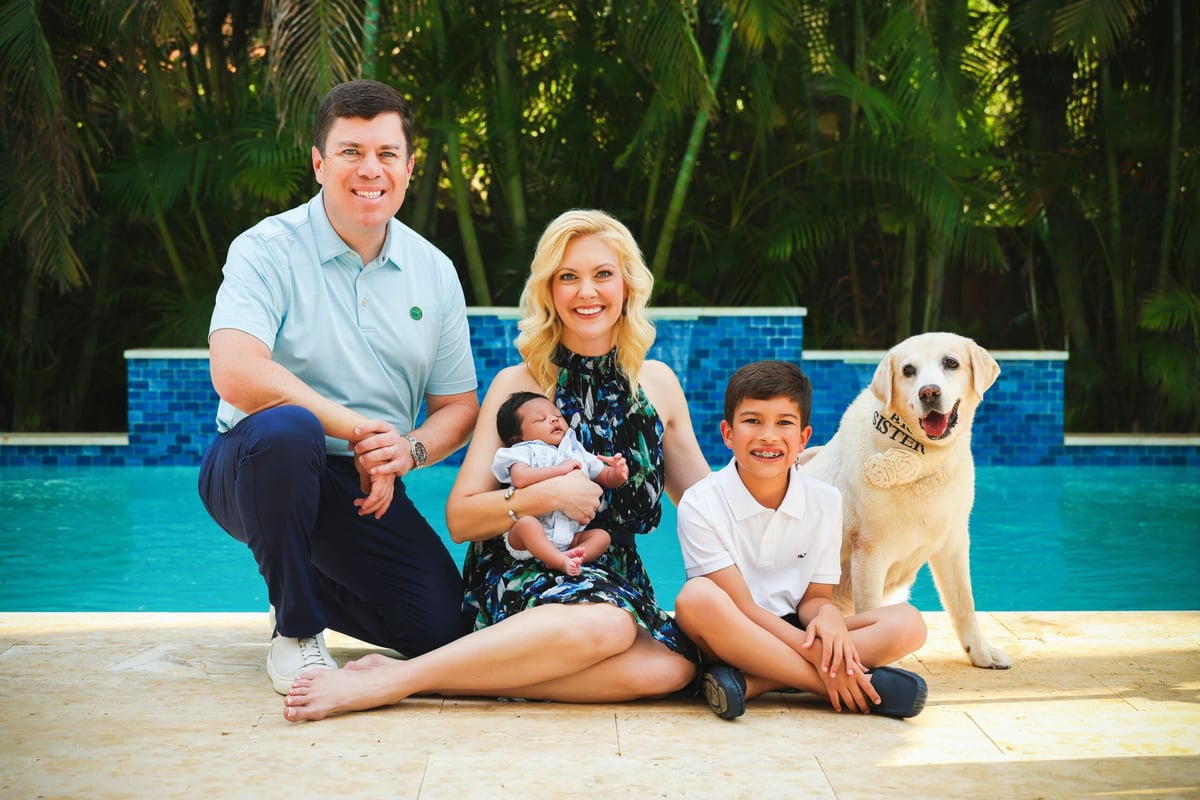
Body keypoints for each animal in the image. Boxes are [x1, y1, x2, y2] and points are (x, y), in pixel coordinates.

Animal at [798, 332, 1011, 669]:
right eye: (909, 371)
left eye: (951, 363)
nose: (929, 392)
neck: (923, 460)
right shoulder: (869, 553)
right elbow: (871, 612)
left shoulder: (953, 543)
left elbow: (964, 605)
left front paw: (980, 653)